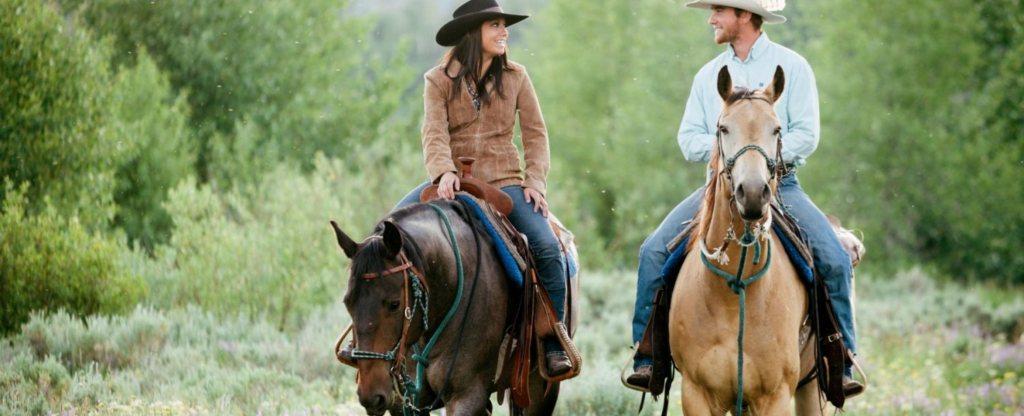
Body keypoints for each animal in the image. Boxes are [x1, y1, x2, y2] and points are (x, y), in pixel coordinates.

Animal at [333, 198, 581, 416]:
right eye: (347, 303)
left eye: (394, 305)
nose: (371, 395)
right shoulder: (403, 402)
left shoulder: (467, 397)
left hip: (540, 385)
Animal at [667, 66, 827, 413]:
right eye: (723, 128)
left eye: (776, 129)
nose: (752, 193)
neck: (737, 286)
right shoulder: (697, 393)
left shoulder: (775, 396)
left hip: (812, 387)